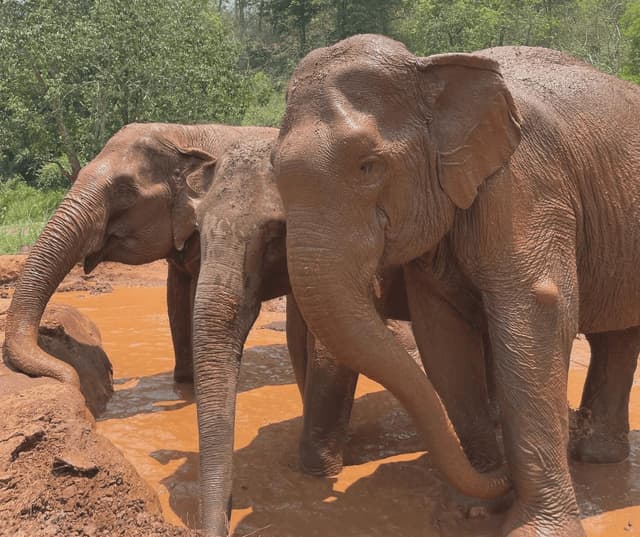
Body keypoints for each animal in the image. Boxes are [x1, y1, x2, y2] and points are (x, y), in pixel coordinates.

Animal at [272, 34, 640, 537]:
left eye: (368, 167)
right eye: (274, 172)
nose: (504, 474)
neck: (428, 70)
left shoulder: (526, 183)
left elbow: (536, 311)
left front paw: (534, 528)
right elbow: (442, 334)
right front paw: (472, 508)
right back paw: (593, 454)